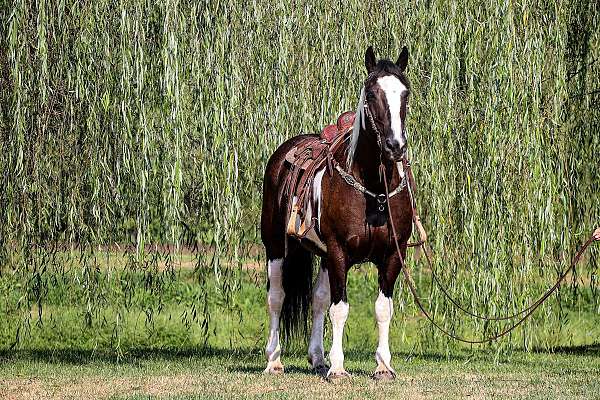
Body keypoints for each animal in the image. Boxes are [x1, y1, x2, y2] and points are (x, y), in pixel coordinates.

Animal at [260, 45, 414, 380]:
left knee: (317, 300)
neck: (374, 190)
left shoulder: (393, 255)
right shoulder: (339, 251)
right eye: (371, 93)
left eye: (405, 93)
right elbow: (340, 308)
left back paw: (317, 358)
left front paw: (383, 366)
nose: (395, 146)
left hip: (322, 254)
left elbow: (382, 308)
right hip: (276, 246)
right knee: (276, 297)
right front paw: (339, 367)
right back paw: (274, 360)